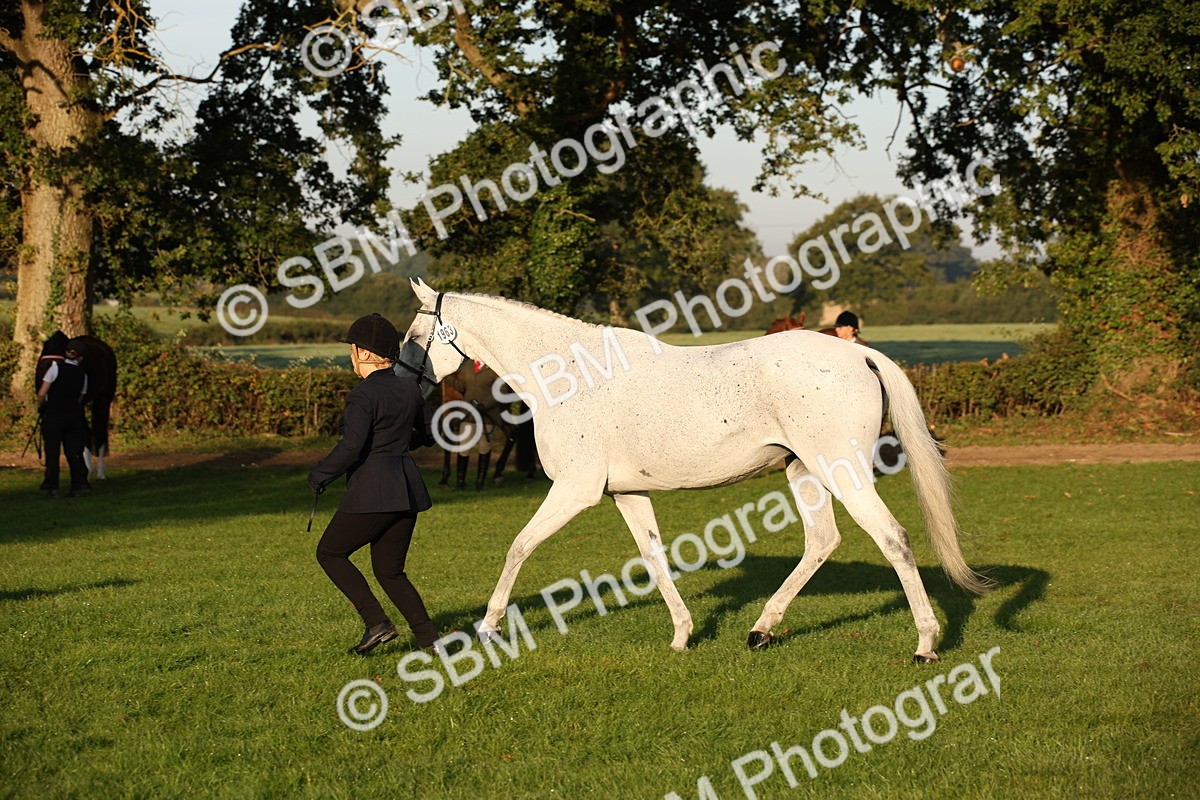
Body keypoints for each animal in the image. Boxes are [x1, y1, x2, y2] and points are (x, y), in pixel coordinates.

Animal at [397, 279, 990, 662]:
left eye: (413, 336)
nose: (401, 378)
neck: (570, 376)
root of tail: (859, 357)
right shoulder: (626, 494)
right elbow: (654, 558)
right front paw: (682, 635)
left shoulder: (574, 490)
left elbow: (518, 546)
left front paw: (490, 628)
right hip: (803, 472)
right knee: (823, 540)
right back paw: (761, 632)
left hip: (842, 472)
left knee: (892, 538)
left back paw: (925, 644)